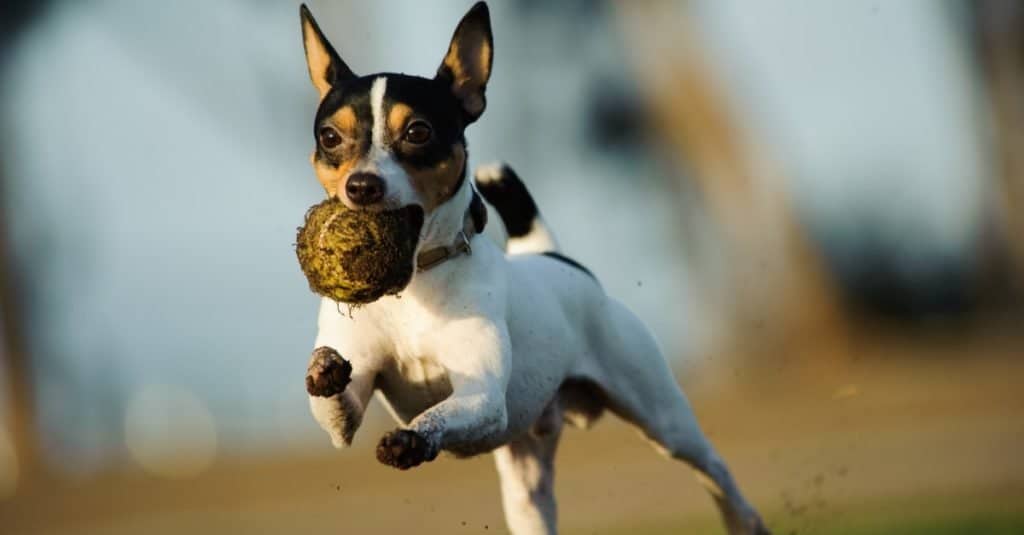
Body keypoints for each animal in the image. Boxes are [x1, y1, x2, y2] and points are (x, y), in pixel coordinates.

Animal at [296, 5, 770, 532]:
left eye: (418, 131)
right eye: (330, 137)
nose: (361, 186)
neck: (414, 286)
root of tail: (550, 254)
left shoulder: (483, 399)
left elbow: (438, 416)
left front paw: (412, 439)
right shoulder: (351, 407)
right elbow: (335, 406)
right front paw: (323, 371)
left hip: (663, 417)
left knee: (713, 468)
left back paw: (744, 519)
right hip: (527, 483)